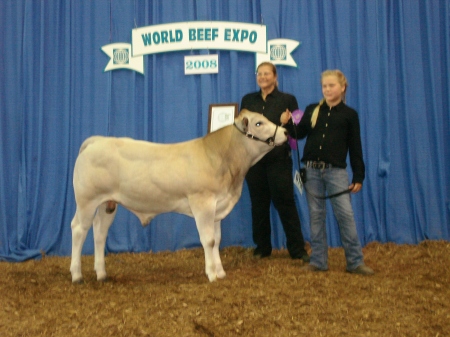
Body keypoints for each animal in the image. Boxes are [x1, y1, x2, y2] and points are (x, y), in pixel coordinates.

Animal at [70, 109, 288, 280]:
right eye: (259, 123)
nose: (286, 131)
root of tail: (98, 140)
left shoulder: (217, 208)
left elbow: (217, 240)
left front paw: (221, 272)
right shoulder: (202, 202)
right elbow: (208, 240)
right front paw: (212, 274)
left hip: (107, 203)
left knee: (99, 232)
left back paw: (101, 274)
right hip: (87, 200)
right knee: (79, 229)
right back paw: (77, 275)